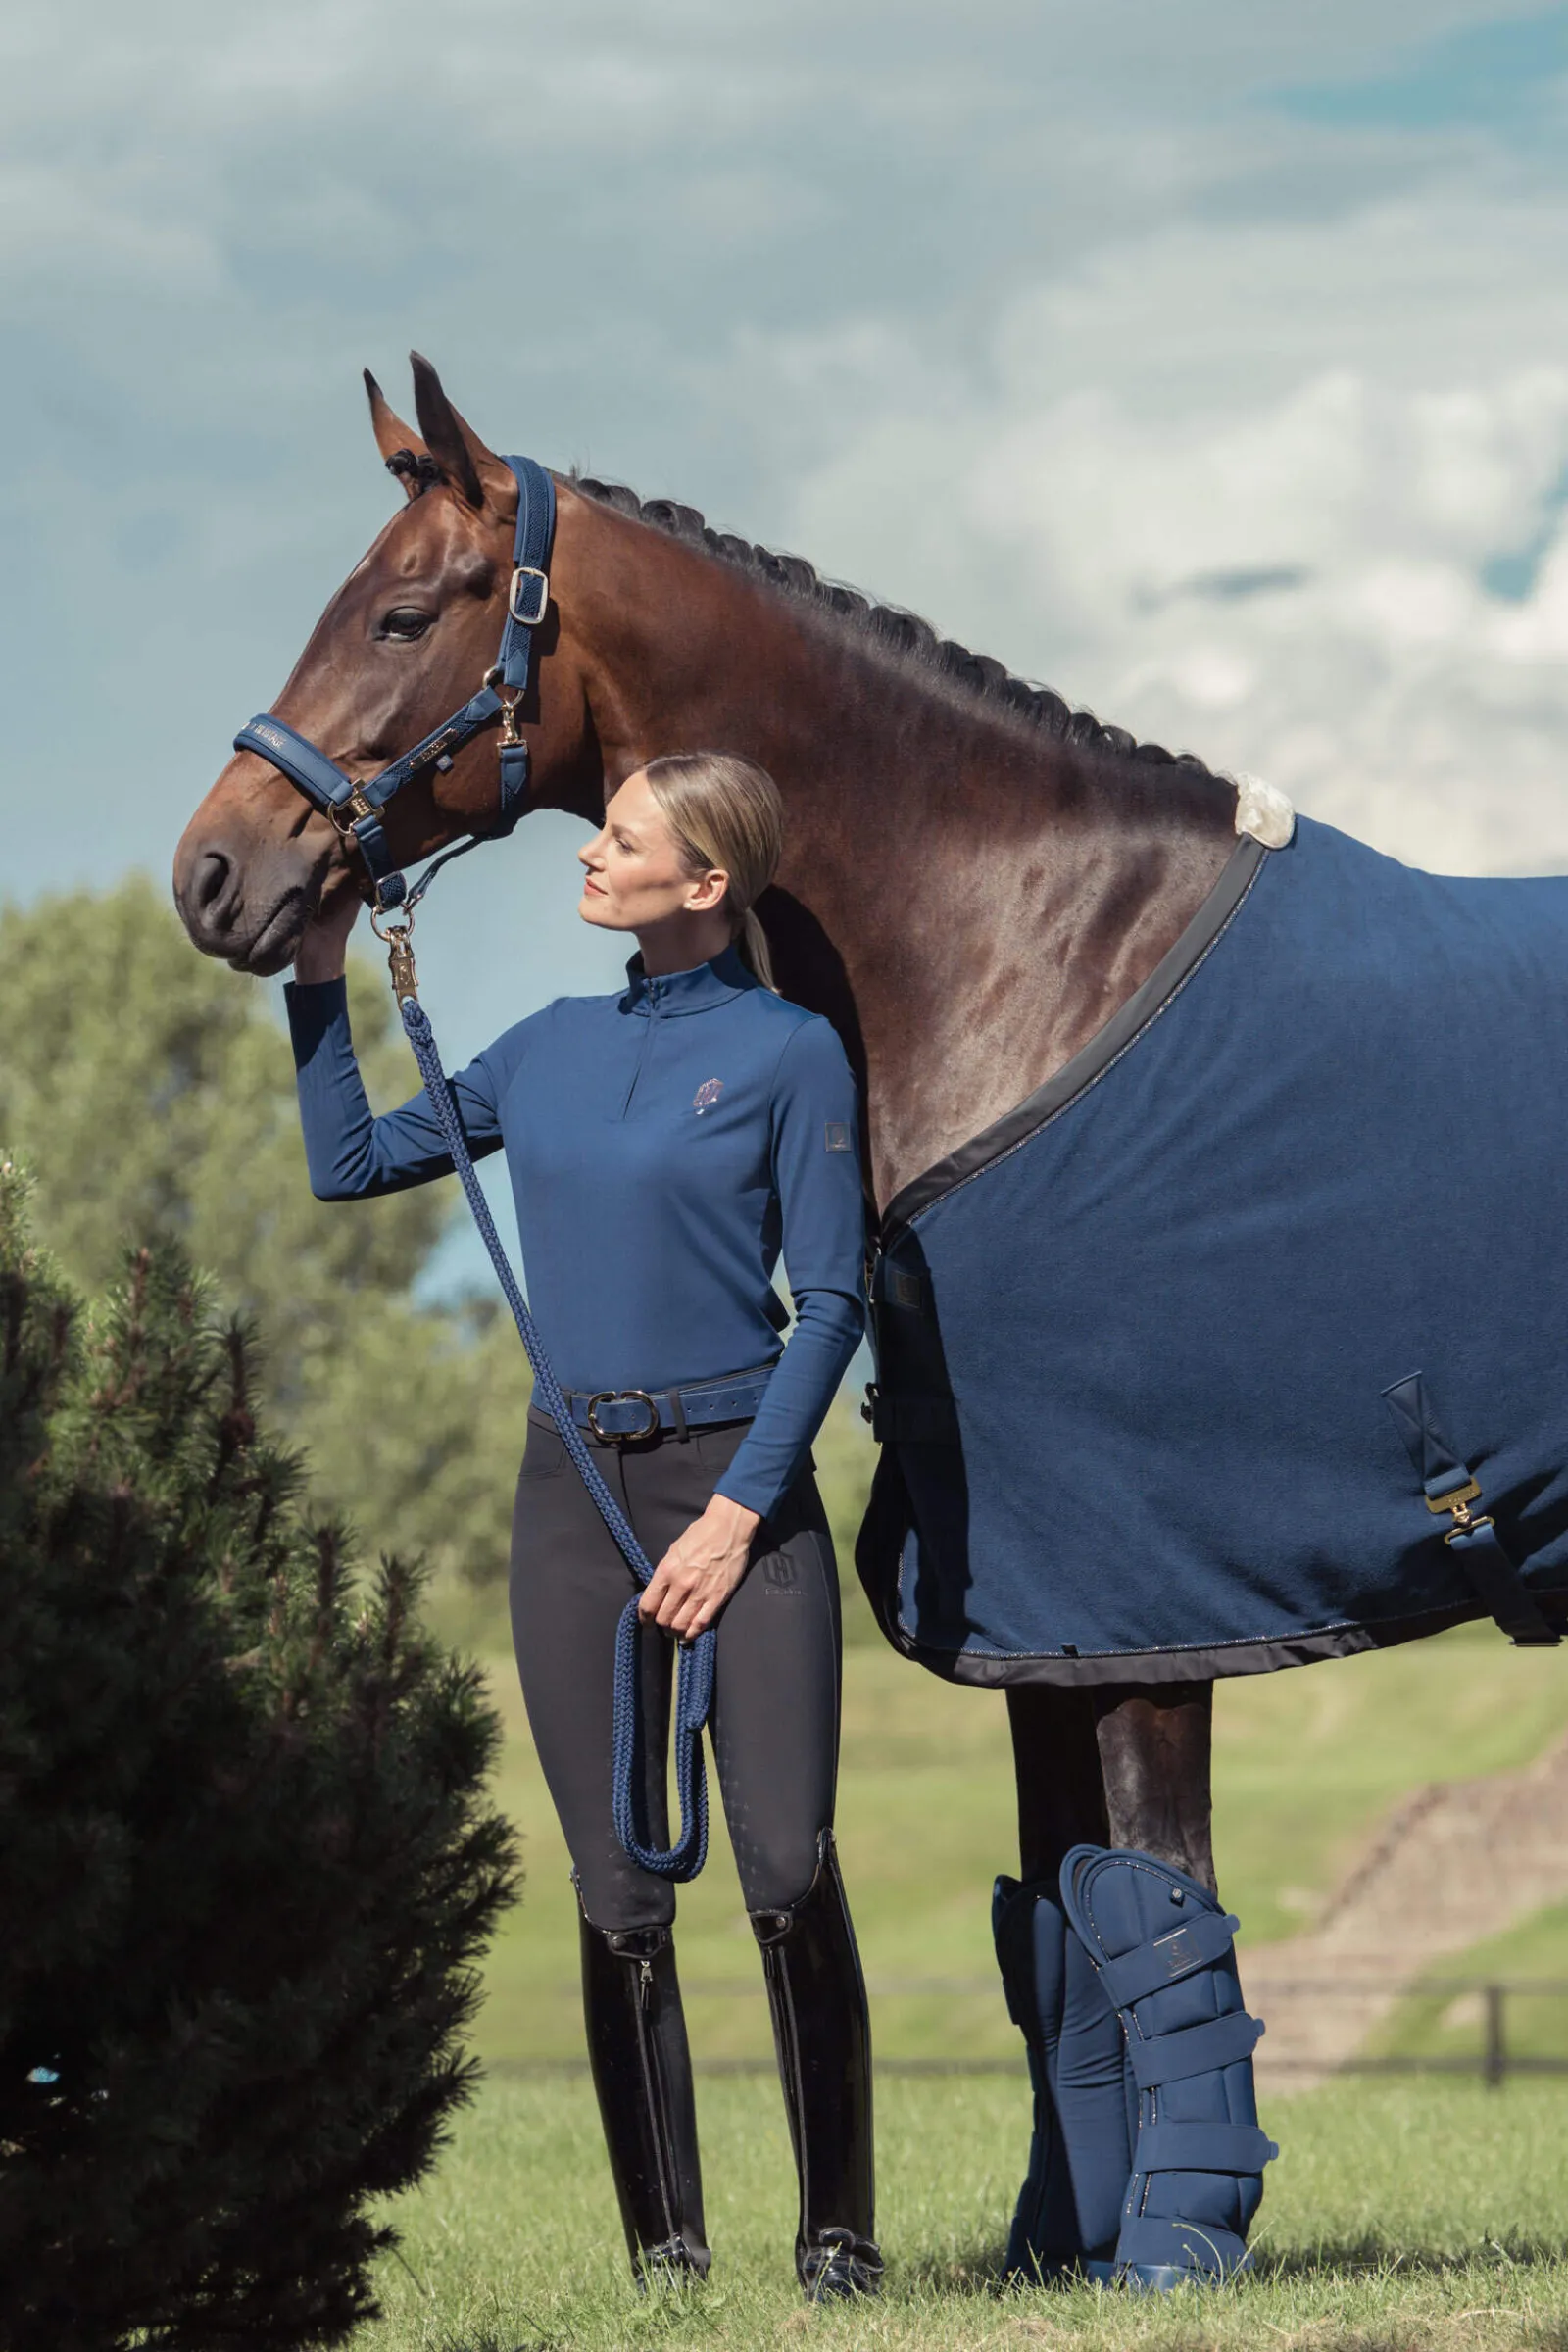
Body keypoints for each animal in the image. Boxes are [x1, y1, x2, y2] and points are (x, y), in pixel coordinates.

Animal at [174, 356, 1568, 2286]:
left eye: (396, 612)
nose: (217, 876)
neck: (1035, 961)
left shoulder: (1149, 1598)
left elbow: (1164, 1900)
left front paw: (1172, 2251)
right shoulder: (1048, 1616)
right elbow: (1061, 1916)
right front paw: (1060, 2248)